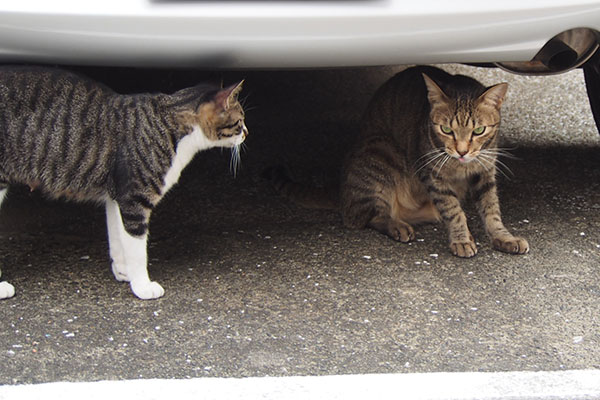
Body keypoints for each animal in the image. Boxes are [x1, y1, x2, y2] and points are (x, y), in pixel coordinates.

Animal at [0, 65, 248, 300]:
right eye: (240, 121)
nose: (247, 132)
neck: (171, 124)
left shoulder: (116, 195)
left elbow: (118, 237)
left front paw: (123, 272)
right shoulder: (135, 198)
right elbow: (137, 248)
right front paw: (142, 286)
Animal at [268, 65, 524, 258]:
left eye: (479, 130)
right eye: (446, 129)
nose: (461, 151)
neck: (461, 165)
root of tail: (341, 190)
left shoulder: (486, 172)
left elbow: (491, 209)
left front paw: (502, 236)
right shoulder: (433, 174)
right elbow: (453, 210)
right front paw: (461, 238)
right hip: (382, 153)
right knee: (364, 217)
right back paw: (396, 226)